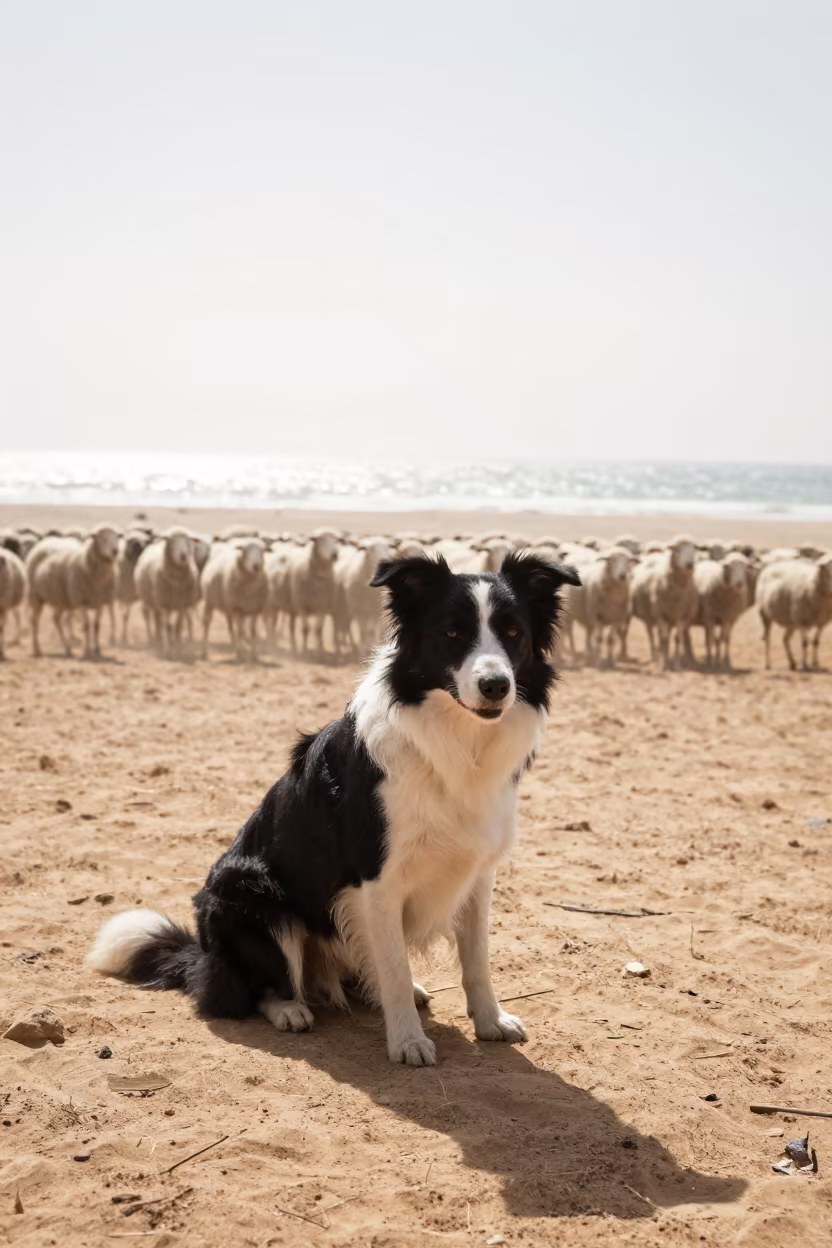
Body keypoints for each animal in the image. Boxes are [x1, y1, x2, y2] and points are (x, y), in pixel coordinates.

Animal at [27, 525, 120, 659]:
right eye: (102, 539)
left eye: (116, 537)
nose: (115, 550)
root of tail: (41, 544)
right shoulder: (81, 601)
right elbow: (86, 626)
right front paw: (87, 651)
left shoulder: (100, 602)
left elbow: (97, 626)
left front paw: (97, 650)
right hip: (36, 596)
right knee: (34, 621)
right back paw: (37, 649)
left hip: (60, 599)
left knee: (56, 619)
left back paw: (67, 649)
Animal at [134, 529, 201, 657]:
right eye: (172, 542)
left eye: (187, 542)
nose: (183, 555)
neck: (177, 583)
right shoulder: (164, 603)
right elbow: (167, 626)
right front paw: (168, 650)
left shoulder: (181, 605)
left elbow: (177, 626)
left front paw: (178, 649)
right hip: (147, 600)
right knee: (148, 617)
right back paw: (152, 640)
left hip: (161, 603)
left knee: (157, 620)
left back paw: (159, 639)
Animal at [629, 536, 697, 670]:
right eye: (677, 550)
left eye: (693, 550)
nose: (690, 564)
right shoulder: (660, 615)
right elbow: (664, 639)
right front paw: (663, 664)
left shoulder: (683, 616)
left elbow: (677, 638)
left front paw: (676, 664)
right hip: (650, 615)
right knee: (652, 635)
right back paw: (655, 657)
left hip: (668, 617)